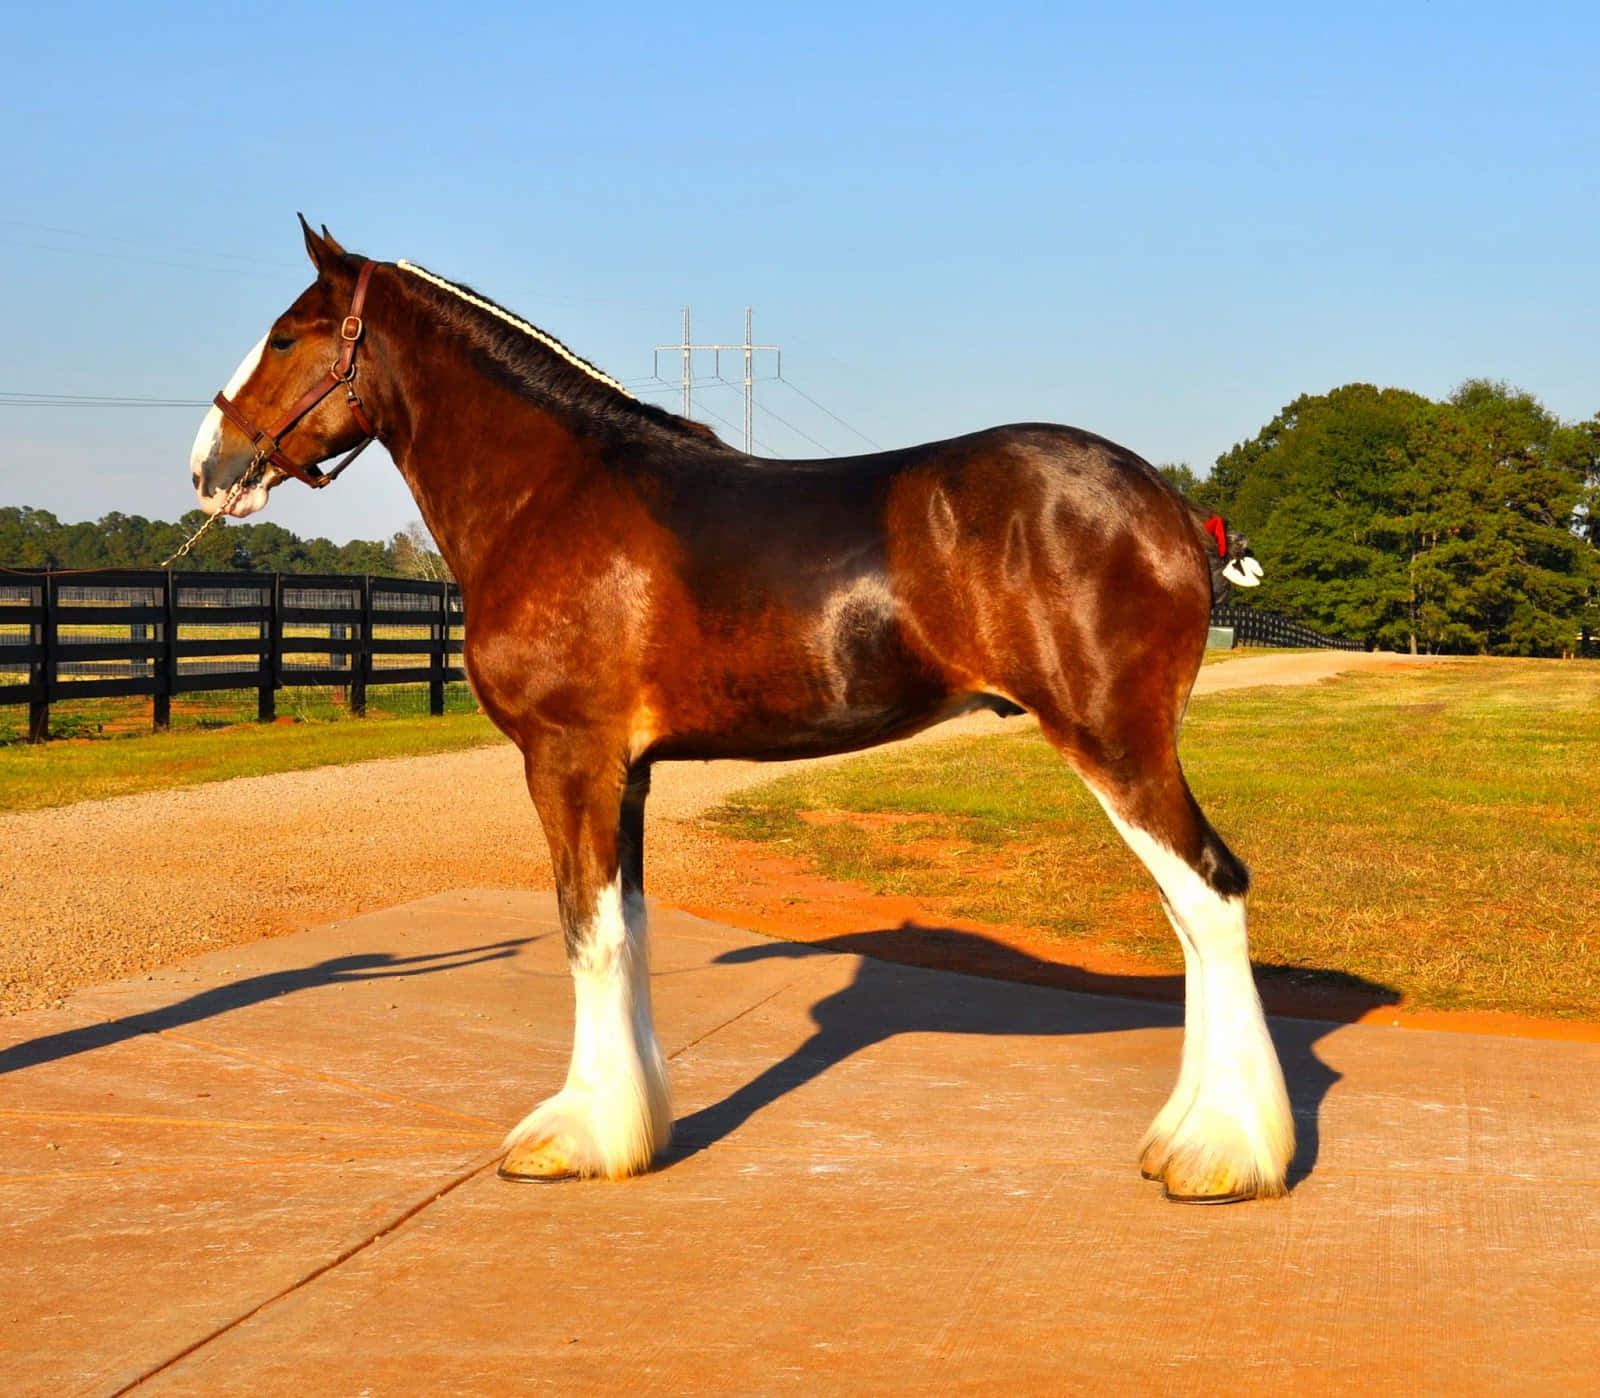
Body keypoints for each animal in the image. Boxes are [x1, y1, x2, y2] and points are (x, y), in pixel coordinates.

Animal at [189, 218, 1291, 1204]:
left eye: (286, 335)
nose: (209, 464)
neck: (552, 493)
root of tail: (1167, 505)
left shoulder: (568, 757)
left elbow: (585, 933)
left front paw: (574, 1138)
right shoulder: (626, 774)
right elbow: (626, 928)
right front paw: (633, 1127)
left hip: (1114, 741)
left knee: (1209, 894)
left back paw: (1223, 1154)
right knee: (1188, 913)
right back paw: (1184, 1137)